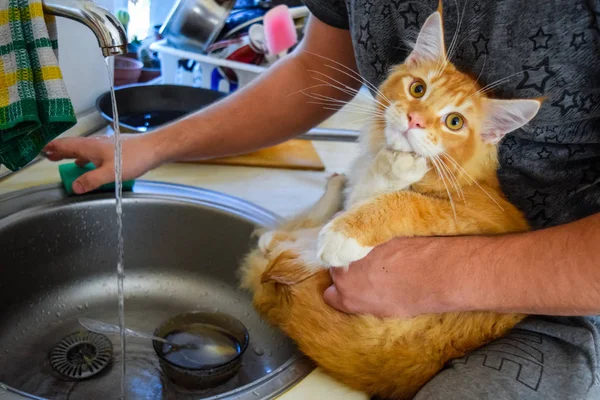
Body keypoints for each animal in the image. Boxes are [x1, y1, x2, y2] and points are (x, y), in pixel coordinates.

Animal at [240, 7, 544, 400]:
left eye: (454, 121)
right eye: (418, 89)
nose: (415, 121)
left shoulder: (471, 217)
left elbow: (404, 202)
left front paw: (345, 232)